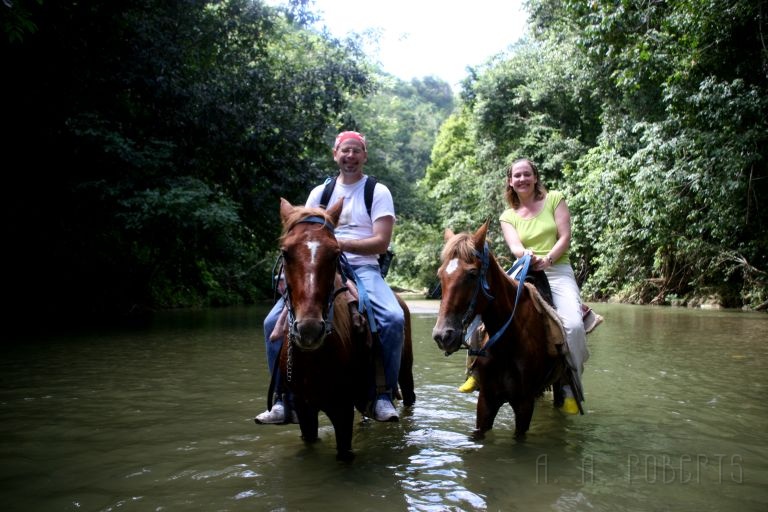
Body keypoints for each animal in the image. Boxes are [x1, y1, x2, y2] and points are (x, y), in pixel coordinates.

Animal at [280, 198, 416, 462]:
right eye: (285, 253)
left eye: (335, 254)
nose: (309, 329)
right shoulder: (304, 409)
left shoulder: (341, 408)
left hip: (406, 373)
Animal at [432, 222, 576, 438]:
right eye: (440, 274)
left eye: (472, 274)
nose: (443, 335)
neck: (508, 342)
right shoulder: (486, 401)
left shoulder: (524, 404)